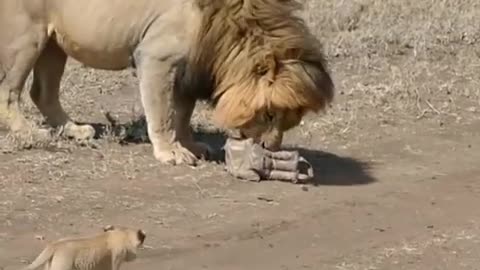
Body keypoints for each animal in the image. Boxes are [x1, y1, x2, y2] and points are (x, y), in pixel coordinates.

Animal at [0, 0, 334, 166]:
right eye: (269, 114)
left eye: (290, 122)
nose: (270, 148)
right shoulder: (156, 58)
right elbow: (162, 114)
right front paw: (170, 152)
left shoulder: (188, 69)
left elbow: (182, 114)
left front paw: (190, 144)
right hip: (27, 35)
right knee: (9, 92)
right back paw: (29, 132)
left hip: (55, 43)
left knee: (43, 92)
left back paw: (73, 130)